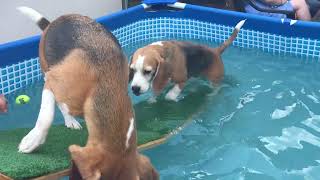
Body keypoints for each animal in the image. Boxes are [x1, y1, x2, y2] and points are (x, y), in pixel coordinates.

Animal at [17, 6, 158, 179]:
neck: (104, 82)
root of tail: (54, 22)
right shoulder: (52, 80)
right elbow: (46, 117)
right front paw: (33, 140)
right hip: (46, 67)